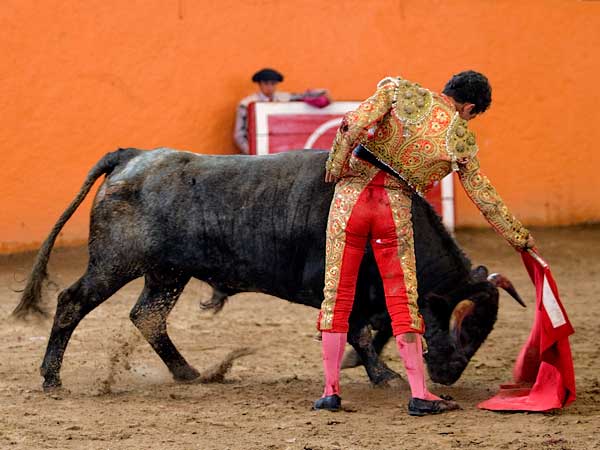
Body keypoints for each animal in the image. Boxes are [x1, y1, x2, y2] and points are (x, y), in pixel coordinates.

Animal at [14, 148, 520, 390]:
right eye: (460, 324)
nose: (449, 374)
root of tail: (132, 156)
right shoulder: (344, 288)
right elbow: (360, 330)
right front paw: (383, 375)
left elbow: (376, 330)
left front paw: (365, 364)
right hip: (117, 261)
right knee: (72, 302)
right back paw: (51, 377)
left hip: (166, 272)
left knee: (148, 317)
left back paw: (188, 372)